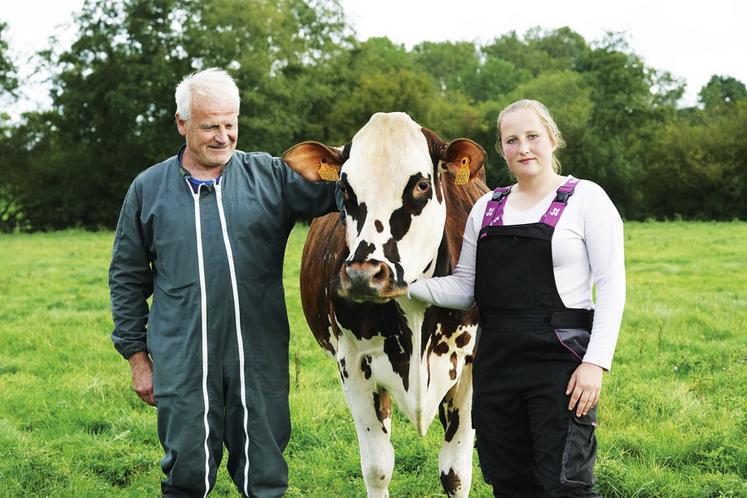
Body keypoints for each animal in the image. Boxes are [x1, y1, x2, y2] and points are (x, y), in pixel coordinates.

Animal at [284, 113, 488, 498]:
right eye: (345, 189)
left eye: (421, 185)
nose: (363, 274)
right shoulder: (352, 364)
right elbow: (378, 467)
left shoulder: (471, 367)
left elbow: (456, 472)